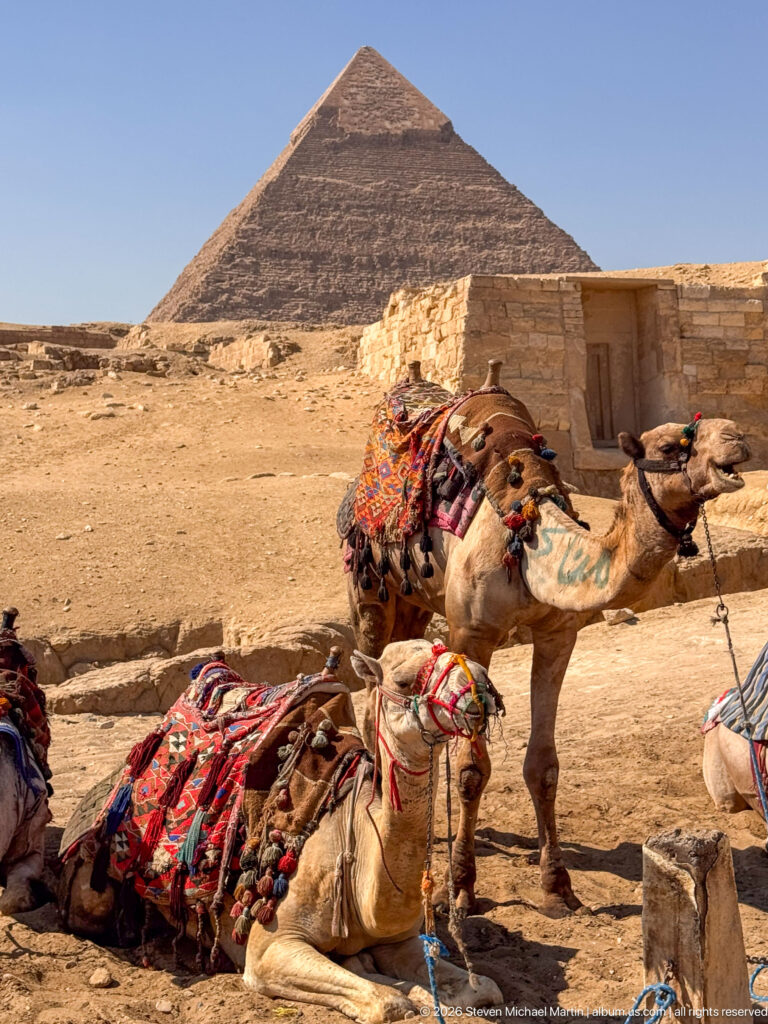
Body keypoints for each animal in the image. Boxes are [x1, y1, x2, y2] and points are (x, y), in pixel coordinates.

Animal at [60, 640, 503, 1023]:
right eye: (404, 681)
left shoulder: (398, 938)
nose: (478, 684)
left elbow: (485, 989)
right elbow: (388, 1002)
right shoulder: (270, 947)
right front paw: (388, 981)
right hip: (93, 885)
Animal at [346, 362, 751, 916]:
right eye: (670, 446)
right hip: (370, 583)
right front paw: (462, 889)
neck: (529, 544)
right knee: (368, 683)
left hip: (414, 599)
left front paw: (557, 886)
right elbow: (471, 769)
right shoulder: (471, 636)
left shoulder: (558, 636)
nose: (738, 438)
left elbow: (544, 766)